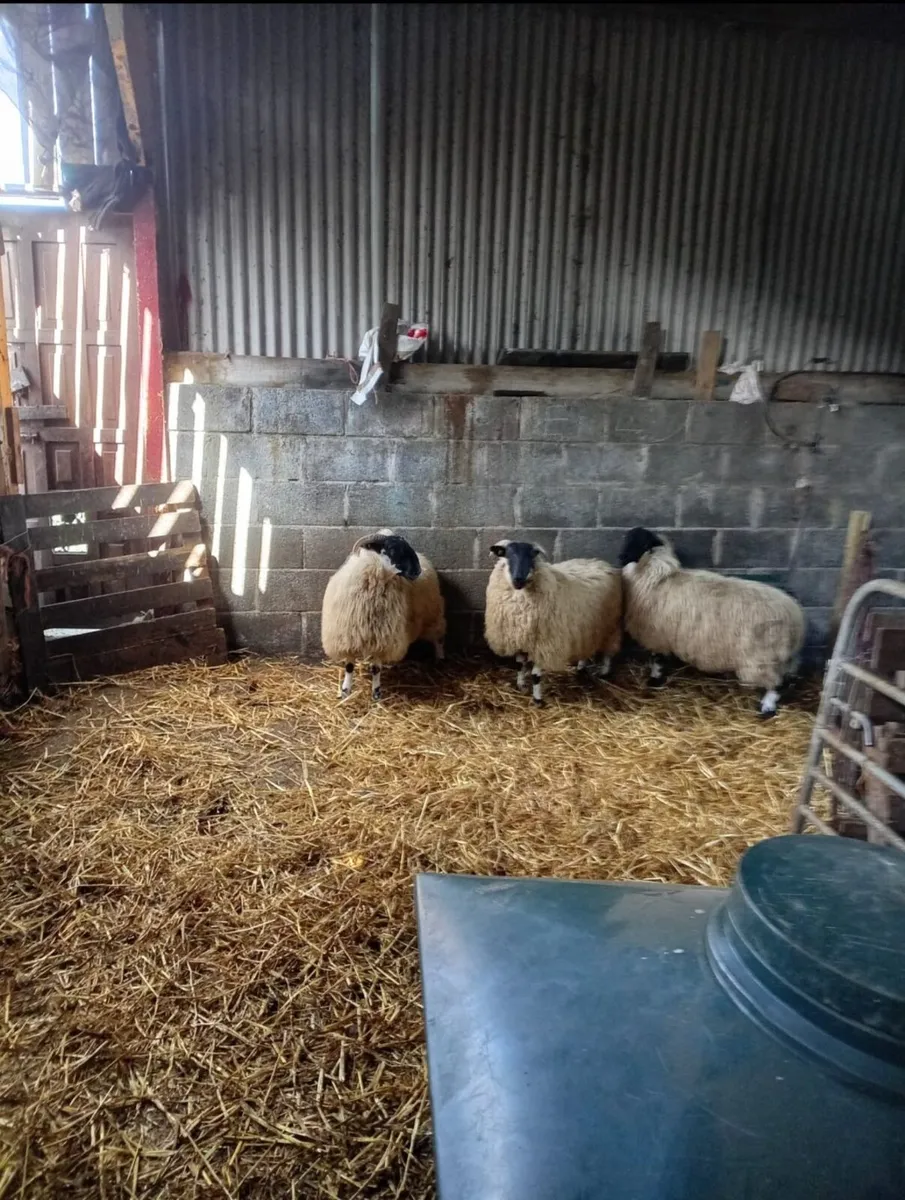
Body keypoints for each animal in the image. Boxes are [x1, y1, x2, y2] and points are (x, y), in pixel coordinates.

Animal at [321, 529, 446, 701]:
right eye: (392, 549)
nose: (417, 571)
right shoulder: (349, 637)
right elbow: (349, 666)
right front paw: (346, 691)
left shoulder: (382, 639)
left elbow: (376, 669)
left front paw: (376, 694)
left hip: (433, 613)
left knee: (438, 637)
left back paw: (440, 658)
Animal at [484, 539, 623, 705]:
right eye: (506, 554)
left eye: (532, 555)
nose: (518, 579)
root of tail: (601, 562)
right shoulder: (518, 638)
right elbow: (519, 665)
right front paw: (521, 685)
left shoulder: (543, 644)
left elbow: (536, 676)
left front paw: (537, 700)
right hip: (587, 627)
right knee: (586, 648)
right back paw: (581, 668)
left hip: (611, 624)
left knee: (609, 651)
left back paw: (604, 672)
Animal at [619, 527, 805, 717]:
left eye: (634, 542)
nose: (621, 557)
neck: (656, 576)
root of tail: (796, 620)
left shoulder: (655, 636)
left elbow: (657, 661)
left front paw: (654, 680)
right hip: (781, 658)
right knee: (788, 678)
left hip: (762, 659)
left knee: (775, 684)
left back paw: (767, 709)